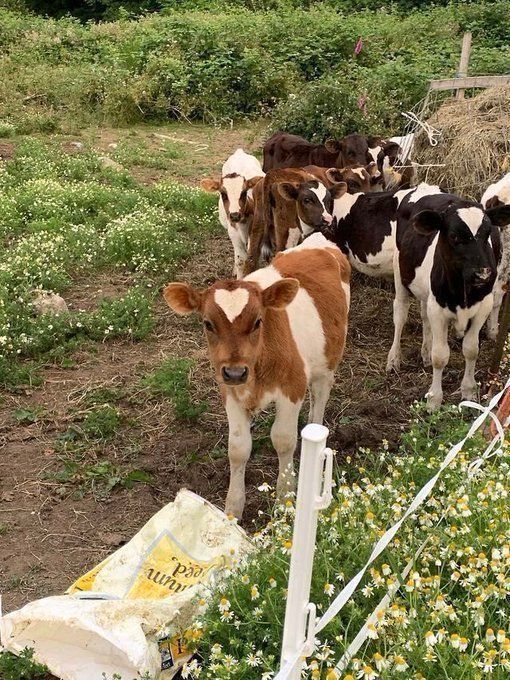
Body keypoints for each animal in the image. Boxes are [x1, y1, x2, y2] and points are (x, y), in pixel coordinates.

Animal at [163, 231, 350, 516]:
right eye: (208, 323)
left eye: (258, 321)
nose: (235, 371)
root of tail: (319, 240)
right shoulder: (230, 392)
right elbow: (238, 448)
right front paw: (233, 508)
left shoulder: (292, 388)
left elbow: (283, 439)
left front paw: (285, 498)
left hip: (327, 361)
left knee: (320, 396)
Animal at [200, 147, 262, 278]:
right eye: (223, 194)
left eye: (244, 192)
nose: (234, 215)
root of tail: (240, 152)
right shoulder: (233, 232)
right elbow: (240, 260)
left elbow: (252, 258)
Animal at [386, 190, 510, 410]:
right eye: (454, 236)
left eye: (488, 234)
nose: (484, 273)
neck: (462, 294)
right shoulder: (438, 310)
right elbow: (440, 356)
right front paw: (434, 399)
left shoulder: (483, 307)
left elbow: (471, 349)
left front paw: (469, 391)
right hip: (399, 272)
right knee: (400, 314)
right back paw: (394, 359)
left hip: (426, 294)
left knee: (423, 317)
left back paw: (425, 351)